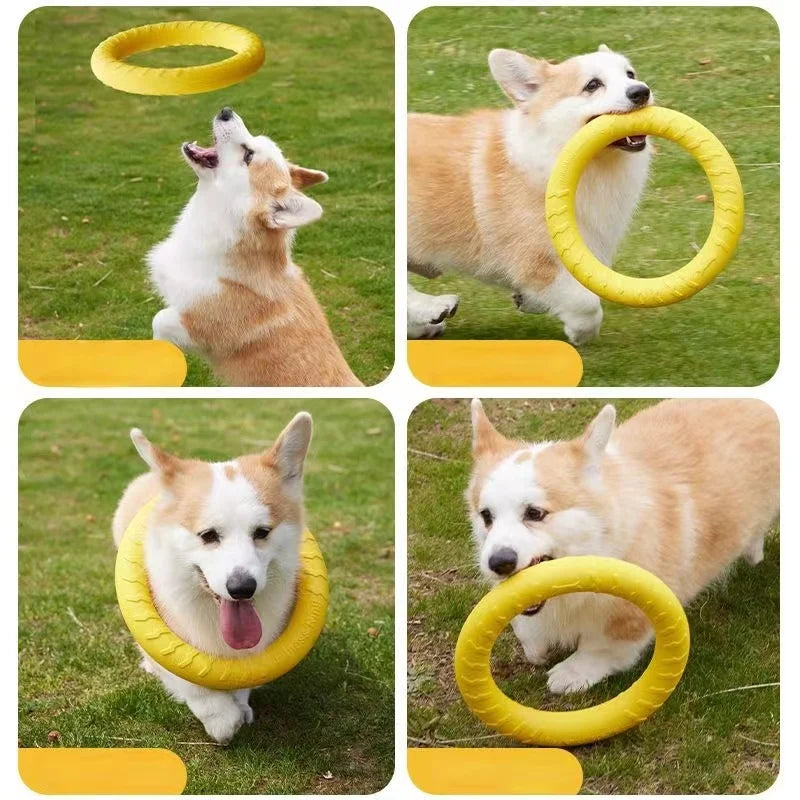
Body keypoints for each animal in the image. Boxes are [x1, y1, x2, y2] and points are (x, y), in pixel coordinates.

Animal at [112, 412, 312, 744]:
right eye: (208, 535)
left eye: (262, 532)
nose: (242, 588)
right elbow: (193, 684)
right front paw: (222, 720)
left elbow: (243, 679)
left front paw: (240, 706)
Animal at [410, 45, 652, 342]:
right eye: (593, 85)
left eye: (630, 74)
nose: (642, 92)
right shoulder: (536, 260)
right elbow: (585, 302)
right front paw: (581, 332)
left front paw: (530, 301)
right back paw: (433, 307)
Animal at [466, 400, 780, 692]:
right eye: (486, 516)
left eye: (534, 513)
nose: (498, 563)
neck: (599, 542)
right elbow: (526, 629)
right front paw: (537, 645)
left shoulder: (630, 615)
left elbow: (603, 646)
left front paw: (572, 672)